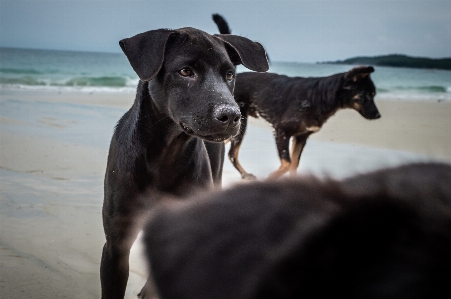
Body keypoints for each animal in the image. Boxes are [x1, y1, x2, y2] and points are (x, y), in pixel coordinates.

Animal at [213, 12, 382, 180]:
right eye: (365, 96)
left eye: (374, 95)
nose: (378, 116)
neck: (319, 97)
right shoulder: (282, 132)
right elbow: (287, 164)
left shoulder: (301, 137)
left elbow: (294, 164)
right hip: (239, 125)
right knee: (232, 153)